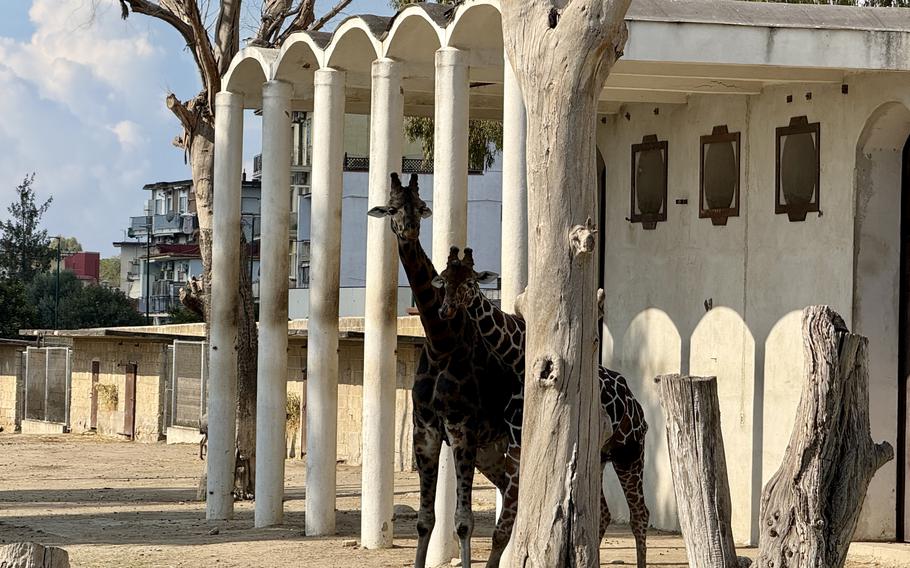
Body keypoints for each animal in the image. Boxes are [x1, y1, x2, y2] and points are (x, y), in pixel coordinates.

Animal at [367, 173, 521, 568]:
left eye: (421, 206)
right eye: (392, 207)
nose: (408, 229)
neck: (441, 342)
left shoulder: (461, 426)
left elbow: (463, 520)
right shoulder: (425, 428)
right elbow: (425, 519)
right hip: (492, 451)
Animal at [433, 247, 651, 568]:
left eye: (471, 282)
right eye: (445, 279)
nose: (446, 310)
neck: (516, 359)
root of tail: (638, 407)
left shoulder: (519, 448)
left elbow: (503, 528)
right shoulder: (514, 448)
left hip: (630, 453)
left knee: (640, 515)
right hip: (598, 457)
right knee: (602, 512)